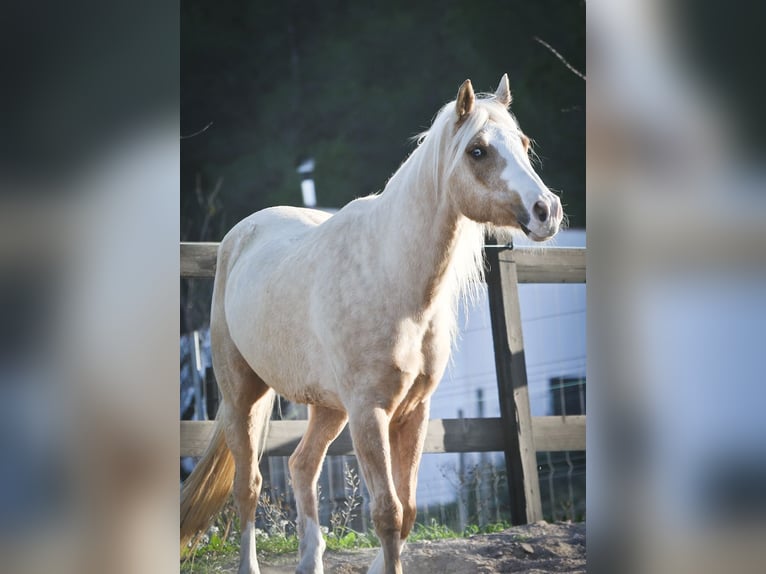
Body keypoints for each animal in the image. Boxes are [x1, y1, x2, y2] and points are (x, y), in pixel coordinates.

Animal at [180, 76, 564, 574]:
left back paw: (311, 561)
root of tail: (237, 237)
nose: (546, 210)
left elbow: (409, 511)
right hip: (244, 396)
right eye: (477, 150)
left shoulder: (414, 412)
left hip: (328, 408)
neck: (393, 275)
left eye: (524, 143)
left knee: (302, 465)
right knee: (248, 487)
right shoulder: (370, 412)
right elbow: (387, 513)